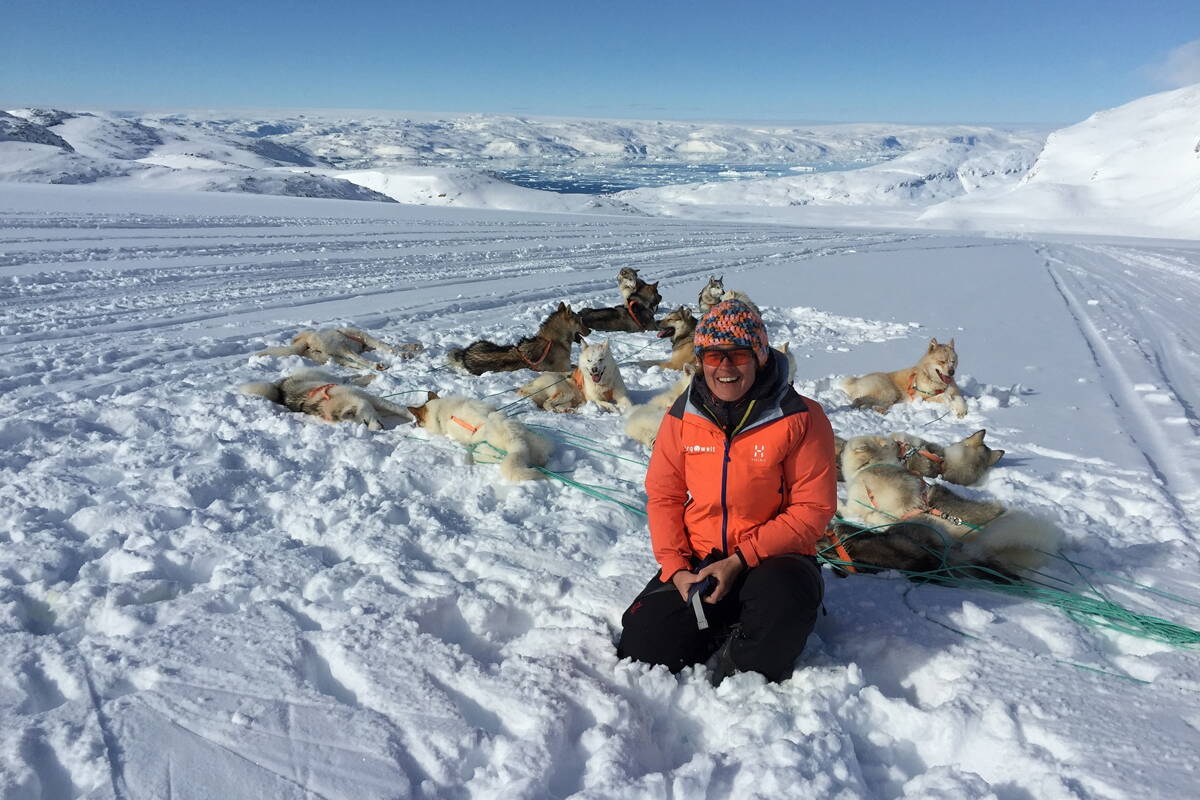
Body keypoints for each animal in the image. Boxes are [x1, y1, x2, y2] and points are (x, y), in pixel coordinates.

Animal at [238, 369, 417, 431]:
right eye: (365, 424)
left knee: (343, 378)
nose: (381, 429)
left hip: (323, 376)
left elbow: (398, 408)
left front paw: (411, 415)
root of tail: (279, 387)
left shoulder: (371, 399)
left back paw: (365, 376)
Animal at [252, 328, 422, 371]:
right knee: (358, 359)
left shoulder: (366, 346)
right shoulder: (367, 340)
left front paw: (414, 347)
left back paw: (377, 366)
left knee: (355, 363)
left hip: (334, 357)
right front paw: (406, 353)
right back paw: (377, 365)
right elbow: (388, 346)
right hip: (342, 347)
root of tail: (307, 342)